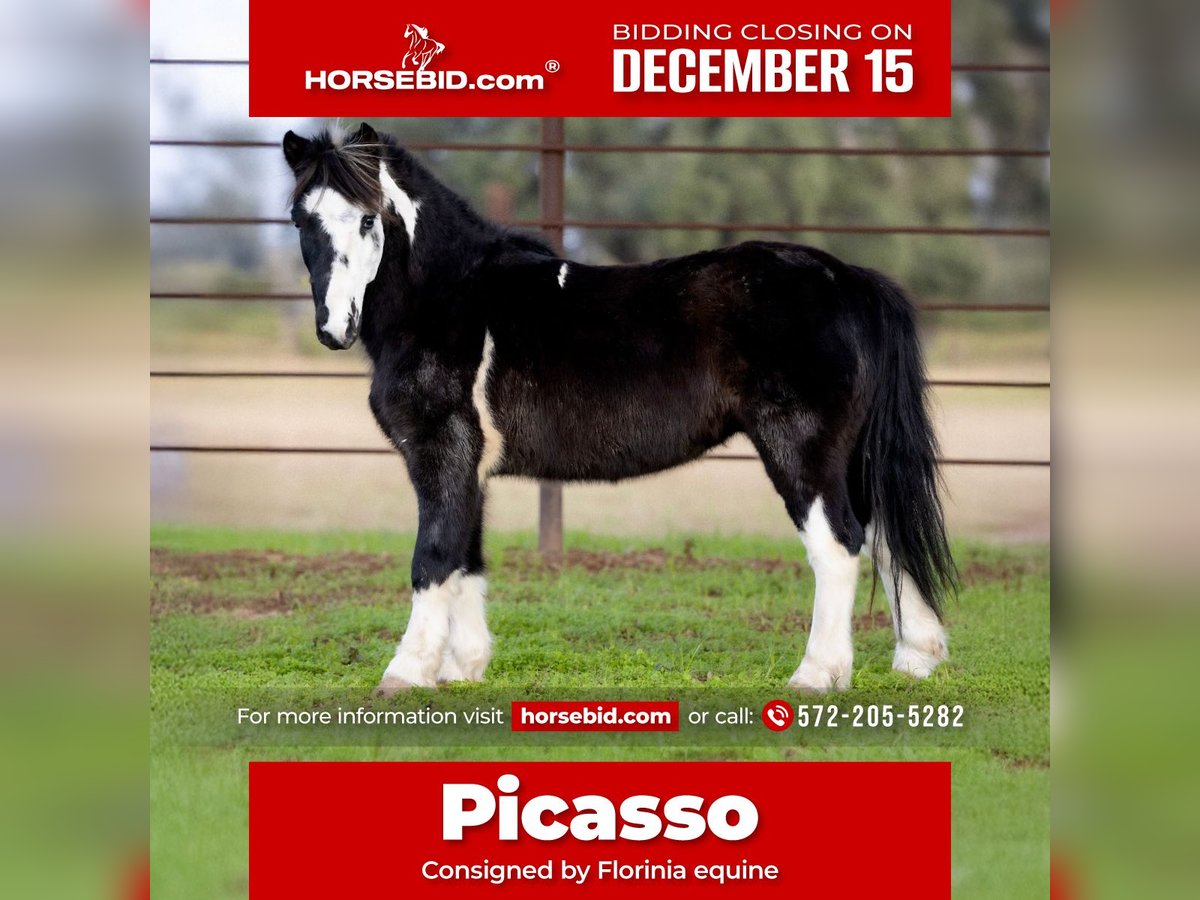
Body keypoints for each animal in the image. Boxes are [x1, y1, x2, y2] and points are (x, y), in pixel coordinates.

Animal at [280, 122, 958, 698]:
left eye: (369, 220)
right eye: (300, 219)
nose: (334, 328)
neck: (453, 301)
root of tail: (849, 279)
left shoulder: (439, 451)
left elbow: (433, 557)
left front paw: (405, 673)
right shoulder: (468, 466)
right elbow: (466, 557)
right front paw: (461, 668)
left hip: (803, 451)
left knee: (839, 546)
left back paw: (817, 675)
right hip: (852, 456)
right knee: (886, 537)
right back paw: (915, 659)